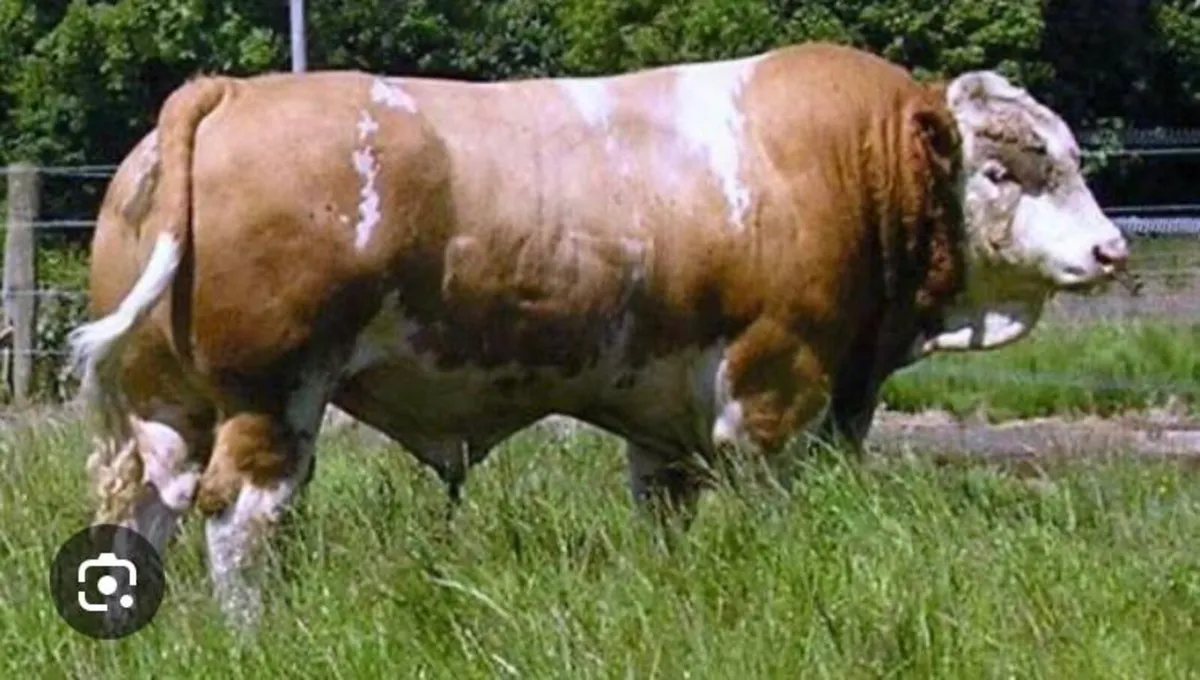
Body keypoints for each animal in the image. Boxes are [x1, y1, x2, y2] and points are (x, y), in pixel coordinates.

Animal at [68, 42, 1129, 627]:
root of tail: (228, 91)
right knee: (241, 517)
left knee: (144, 510)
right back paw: (257, 633)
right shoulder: (779, 388)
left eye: (1071, 156)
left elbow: (667, 517)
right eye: (1005, 171)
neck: (851, 166)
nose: (1112, 248)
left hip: (168, 408)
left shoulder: (669, 421)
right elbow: (775, 508)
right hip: (272, 395)